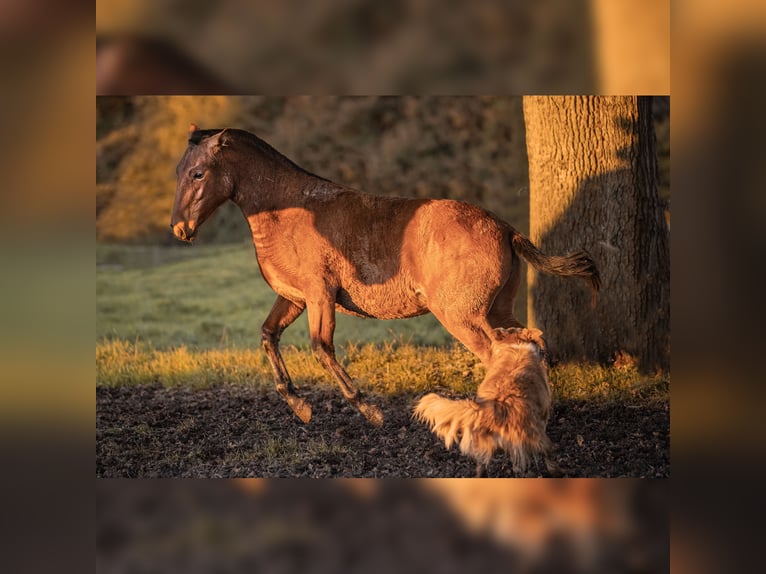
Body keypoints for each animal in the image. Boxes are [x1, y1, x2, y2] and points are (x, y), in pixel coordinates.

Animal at [170, 126, 600, 430]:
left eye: (198, 173)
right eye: (180, 172)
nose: (180, 229)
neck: (290, 211)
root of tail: (505, 229)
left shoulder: (319, 295)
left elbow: (321, 347)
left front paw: (369, 410)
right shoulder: (294, 298)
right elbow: (268, 336)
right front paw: (300, 406)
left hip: (464, 317)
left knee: (500, 351)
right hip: (496, 310)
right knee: (530, 341)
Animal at [416, 328, 560, 476]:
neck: (517, 346)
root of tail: (499, 405)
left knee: (482, 467)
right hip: (536, 439)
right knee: (546, 455)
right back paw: (556, 471)